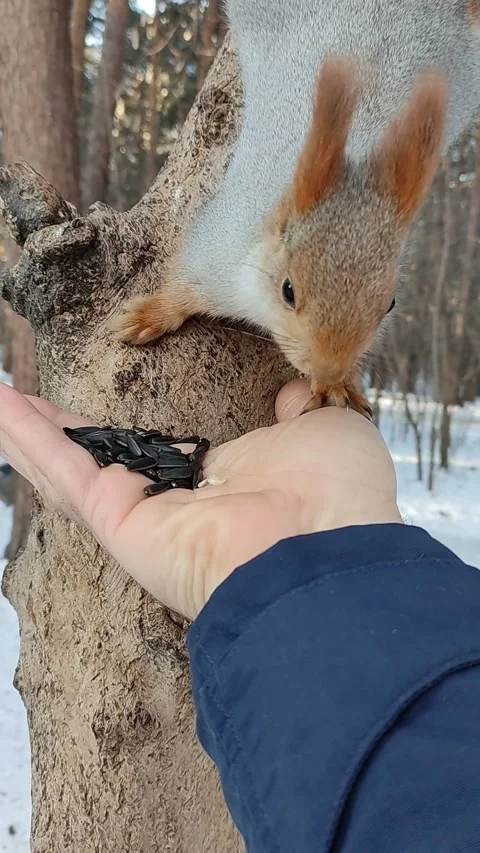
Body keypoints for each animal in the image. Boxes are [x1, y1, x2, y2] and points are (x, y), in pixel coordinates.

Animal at [111, 0, 480, 417]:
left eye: (391, 304)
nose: (329, 367)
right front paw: (149, 316)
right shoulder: (216, 254)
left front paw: (336, 386)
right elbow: (181, 288)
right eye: (288, 291)